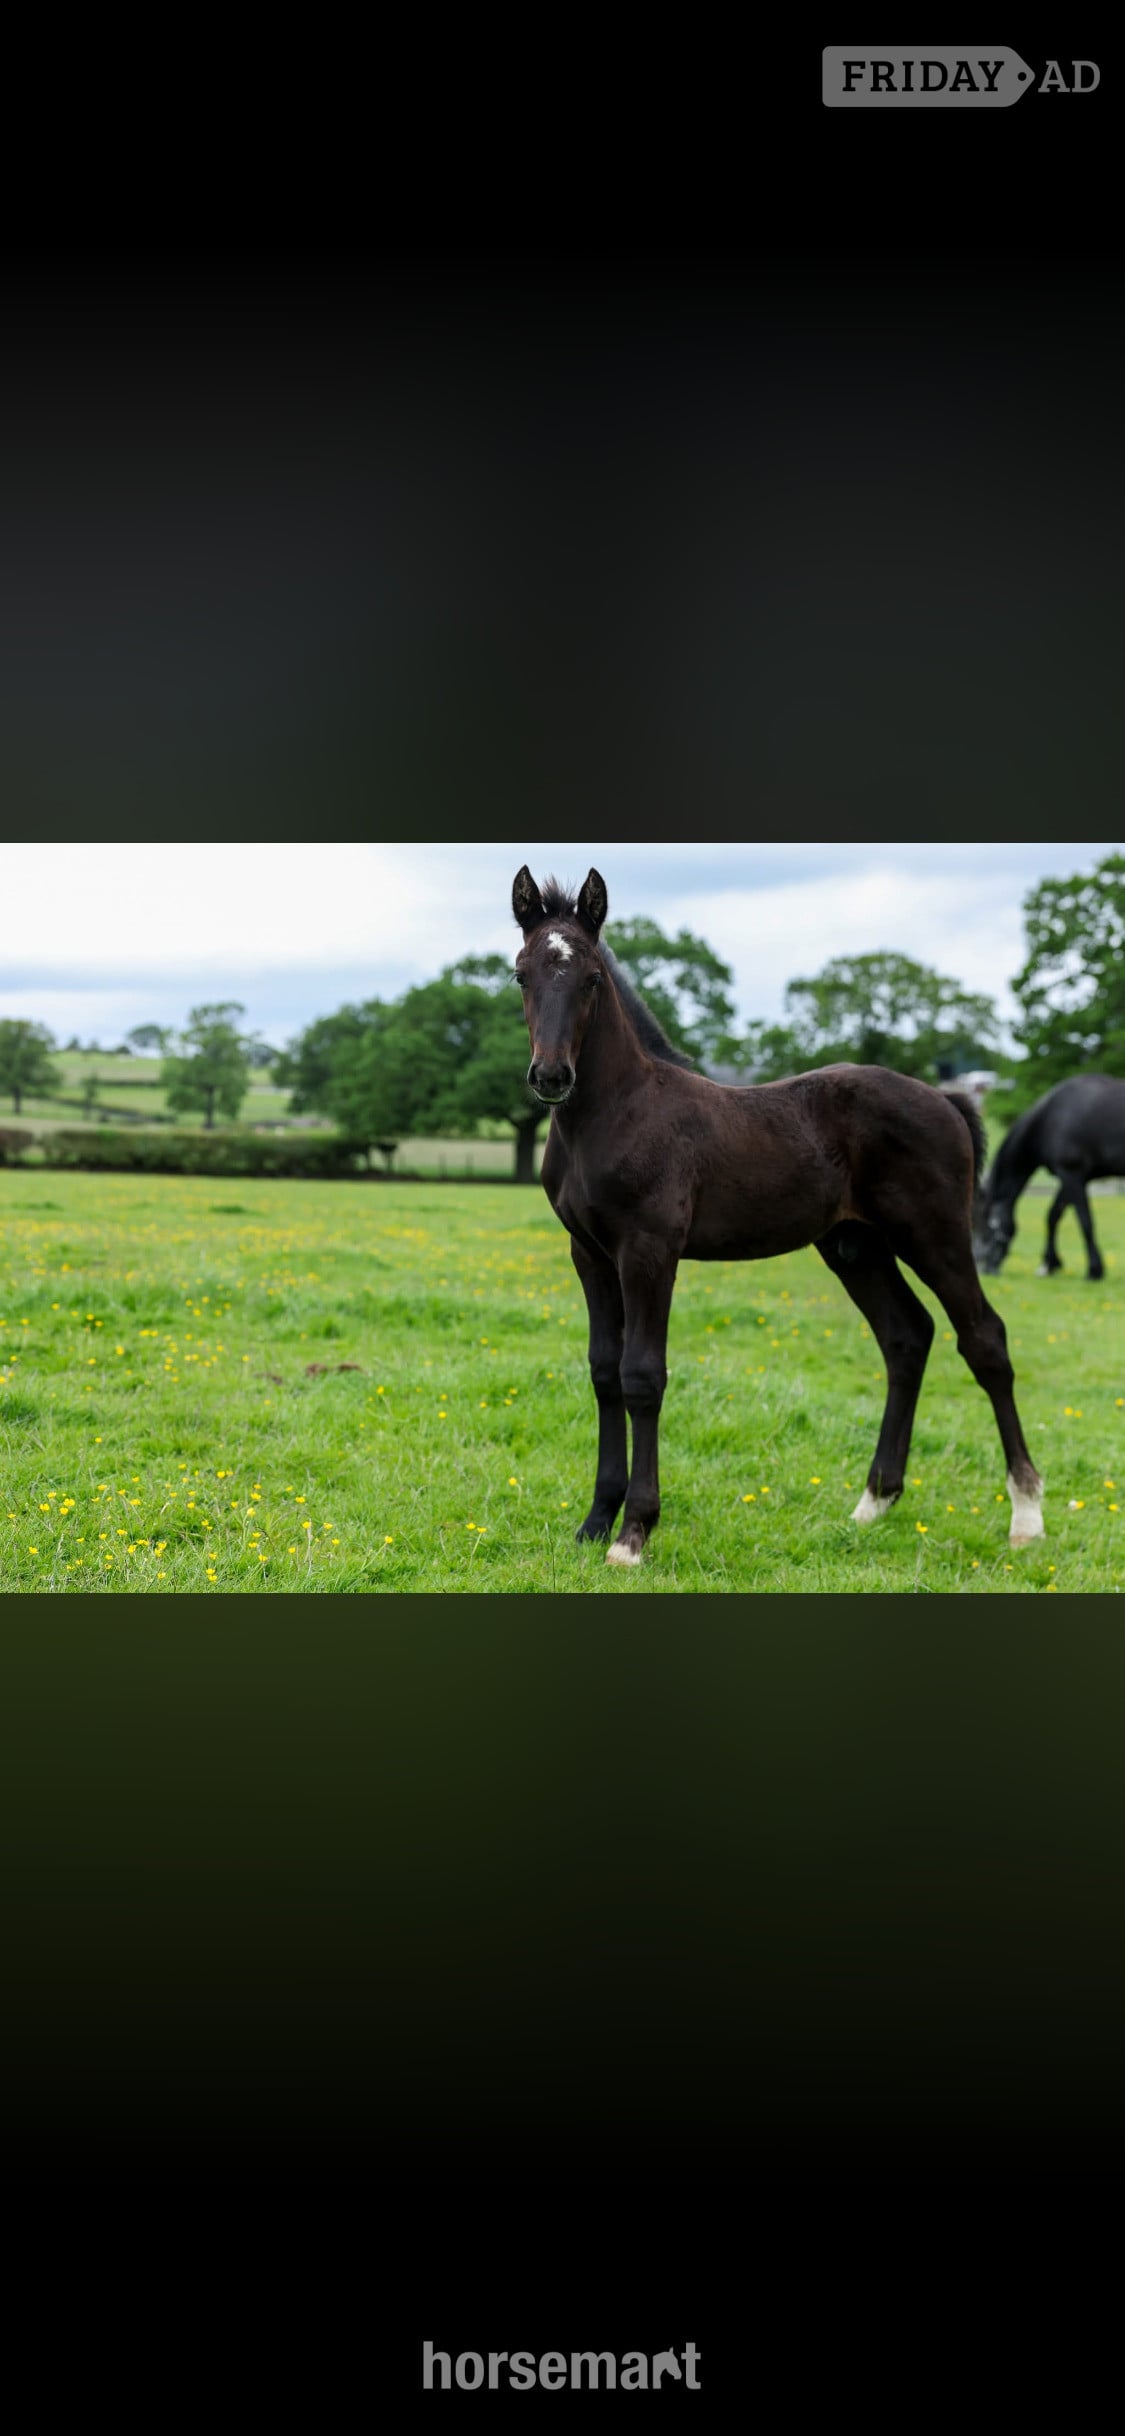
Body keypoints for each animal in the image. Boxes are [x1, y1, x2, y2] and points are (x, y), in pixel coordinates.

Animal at [512, 863, 1045, 1568]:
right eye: (522, 974)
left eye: (592, 977)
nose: (551, 1076)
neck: (613, 1112)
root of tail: (947, 1100)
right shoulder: (590, 1254)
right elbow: (604, 1373)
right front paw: (596, 1520)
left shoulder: (650, 1251)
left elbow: (642, 1376)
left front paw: (634, 1533)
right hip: (855, 1245)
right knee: (906, 1337)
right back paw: (873, 1503)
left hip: (935, 1234)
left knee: (984, 1339)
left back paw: (1026, 1516)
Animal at [975, 1073, 1125, 1282]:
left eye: (983, 1224)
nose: (982, 1269)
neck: (1050, 1119)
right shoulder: (1070, 1178)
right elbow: (1053, 1216)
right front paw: (1049, 1264)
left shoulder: (1072, 1174)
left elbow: (1084, 1221)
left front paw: (1094, 1270)